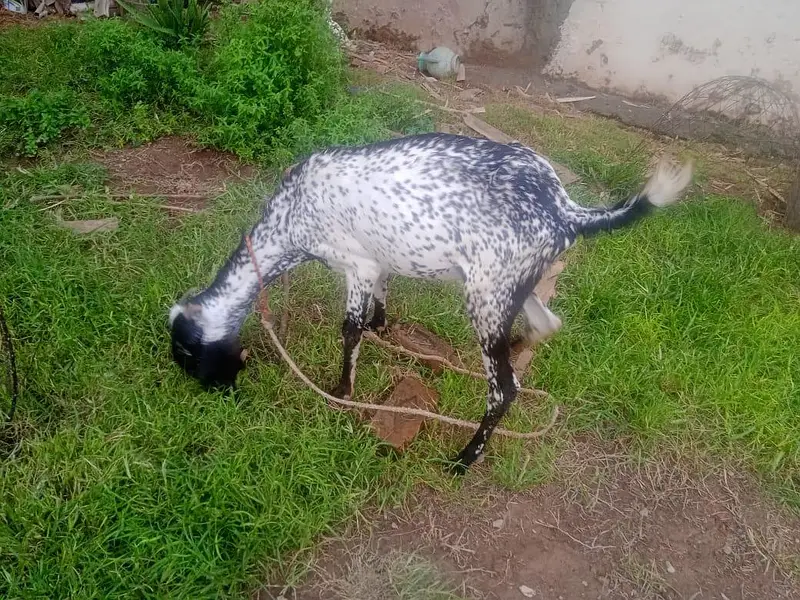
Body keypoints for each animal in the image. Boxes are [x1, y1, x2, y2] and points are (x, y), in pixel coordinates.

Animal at [169, 133, 692, 472]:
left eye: (190, 360)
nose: (223, 393)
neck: (290, 218)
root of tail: (567, 211)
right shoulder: (378, 261)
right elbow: (380, 302)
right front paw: (382, 329)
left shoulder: (356, 263)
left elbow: (349, 330)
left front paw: (342, 392)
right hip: (513, 285)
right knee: (546, 325)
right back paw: (520, 348)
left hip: (485, 295)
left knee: (505, 388)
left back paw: (464, 459)